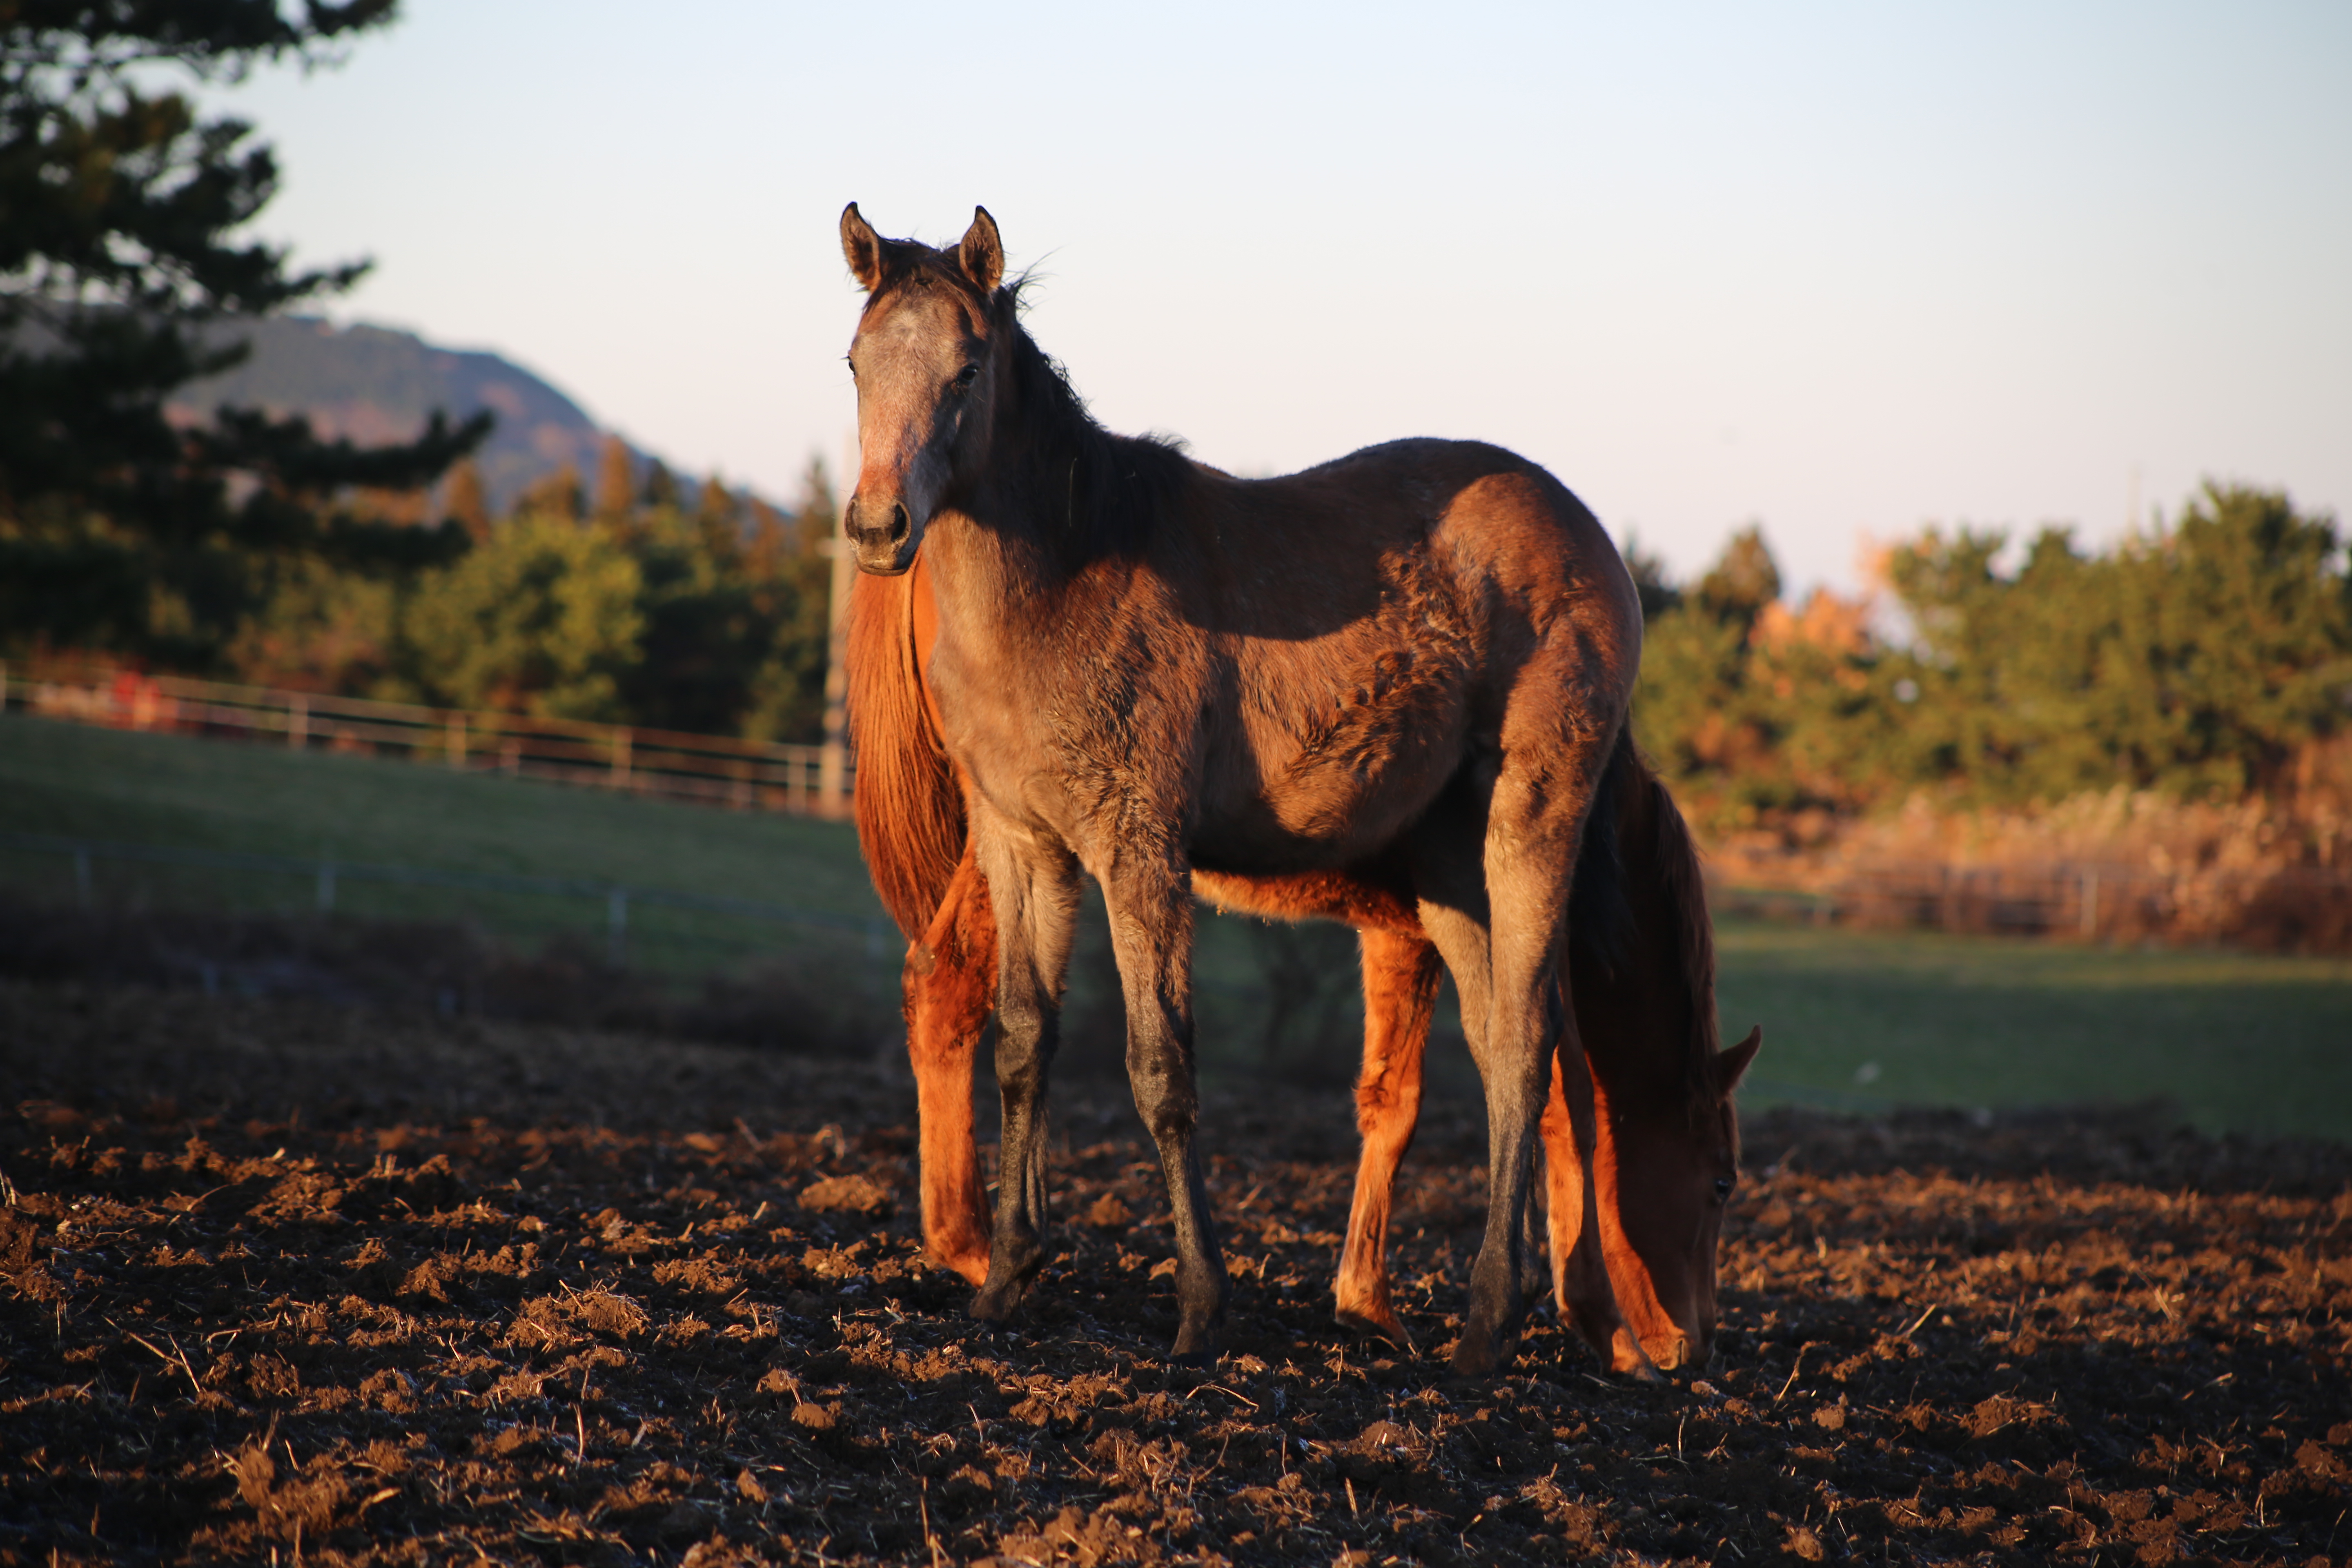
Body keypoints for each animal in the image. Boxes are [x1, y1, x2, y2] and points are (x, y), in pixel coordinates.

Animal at [837, 205, 1646, 1373]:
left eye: (967, 367)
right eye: (855, 362)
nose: (877, 528)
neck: (1059, 582)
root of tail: (1589, 535)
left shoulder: (1138, 846)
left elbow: (1158, 1066)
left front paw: (1198, 1306)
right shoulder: (1022, 842)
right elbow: (1024, 1041)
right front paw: (1006, 1280)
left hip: (1531, 821)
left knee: (1534, 1041)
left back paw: (1491, 1317)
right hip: (1449, 864)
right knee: (1502, 1047)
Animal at [856, 555, 1759, 1373]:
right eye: (1722, 1183)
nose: (1697, 1345)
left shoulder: (1408, 932)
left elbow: (1395, 1101)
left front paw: (1367, 1305)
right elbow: (1554, 1104)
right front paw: (1599, 1325)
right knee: (945, 987)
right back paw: (972, 1247)